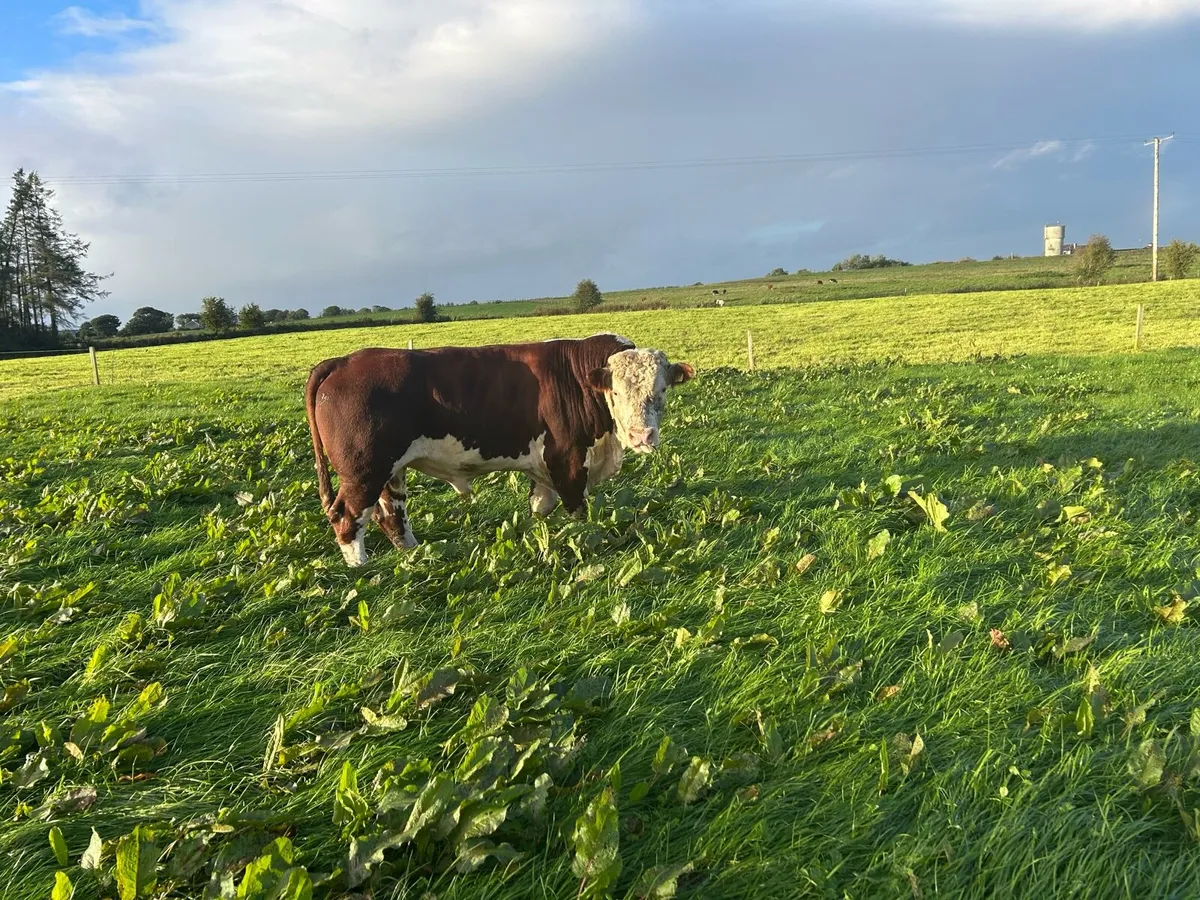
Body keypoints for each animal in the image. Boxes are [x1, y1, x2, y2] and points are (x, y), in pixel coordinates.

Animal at [305, 334, 695, 567]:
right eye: (615, 391)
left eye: (661, 390)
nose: (641, 435)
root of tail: (342, 361)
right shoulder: (568, 460)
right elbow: (577, 513)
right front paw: (583, 540)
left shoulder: (543, 467)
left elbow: (540, 507)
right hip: (363, 471)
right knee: (347, 516)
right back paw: (361, 568)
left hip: (390, 470)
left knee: (391, 513)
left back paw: (413, 554)